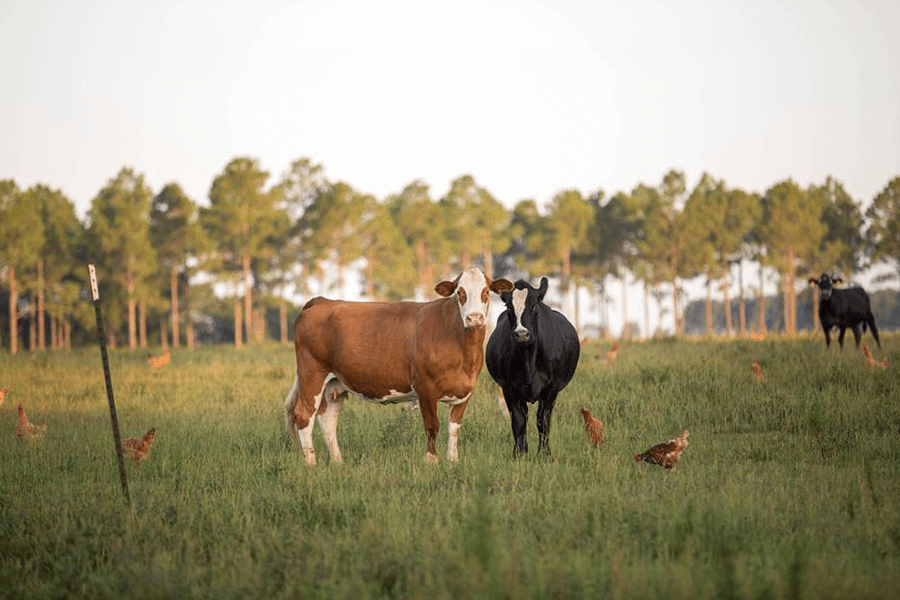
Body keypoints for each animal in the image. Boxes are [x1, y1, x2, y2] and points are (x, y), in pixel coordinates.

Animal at [284, 266, 510, 464]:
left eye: (486, 291)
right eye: (460, 293)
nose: (474, 318)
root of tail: (322, 301)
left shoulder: (465, 390)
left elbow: (454, 427)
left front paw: (453, 460)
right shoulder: (425, 388)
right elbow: (432, 425)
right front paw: (431, 461)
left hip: (335, 383)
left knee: (327, 418)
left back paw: (338, 462)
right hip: (312, 373)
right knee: (304, 416)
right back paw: (311, 463)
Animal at [488, 276, 580, 454]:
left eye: (534, 306)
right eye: (508, 307)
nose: (522, 334)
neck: (528, 359)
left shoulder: (551, 389)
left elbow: (543, 420)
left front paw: (544, 454)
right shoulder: (509, 388)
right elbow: (518, 421)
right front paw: (519, 454)